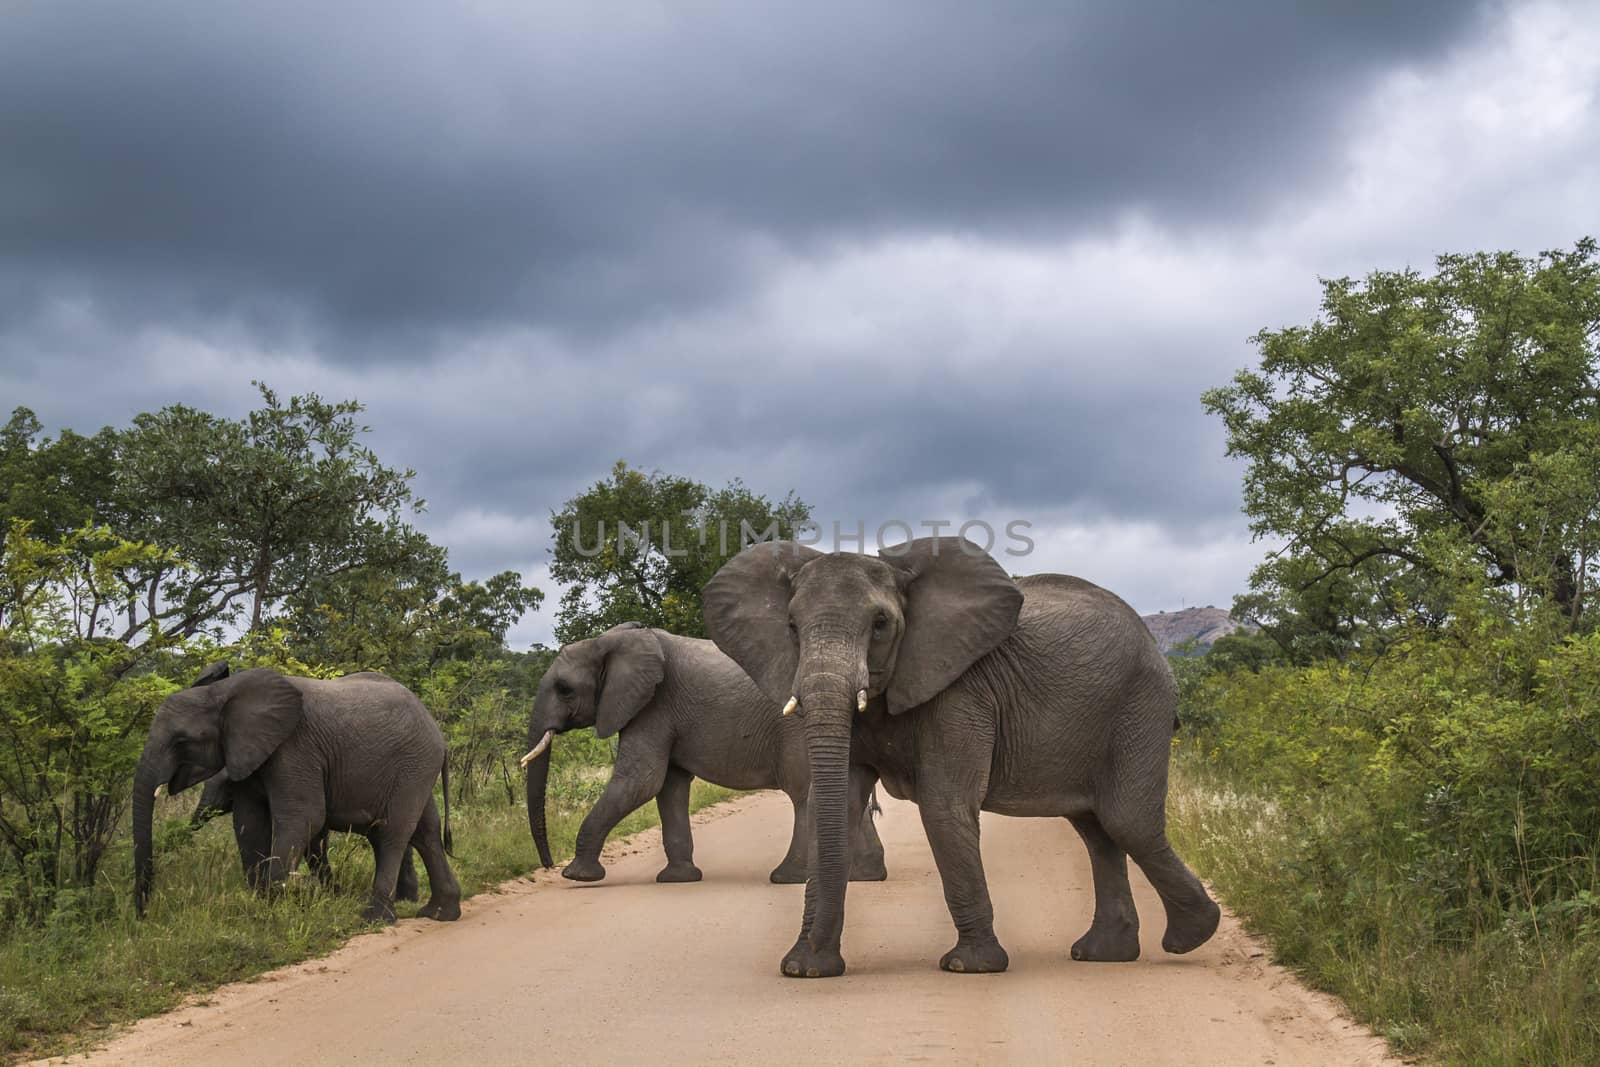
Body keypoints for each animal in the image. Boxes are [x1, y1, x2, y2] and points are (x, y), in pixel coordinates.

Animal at [133, 662, 460, 921]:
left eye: (181, 741)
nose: (142, 915)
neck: (223, 693)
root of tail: (438, 733)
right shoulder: (249, 754)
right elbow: (249, 823)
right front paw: (267, 903)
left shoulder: (295, 749)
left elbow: (304, 818)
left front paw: (296, 891)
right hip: (417, 768)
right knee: (426, 832)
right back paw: (440, 913)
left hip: (414, 763)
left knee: (392, 832)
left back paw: (376, 917)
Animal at [518, 620, 883, 889]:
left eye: (564, 689)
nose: (547, 866)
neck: (610, 641)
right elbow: (669, 787)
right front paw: (678, 880)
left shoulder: (653, 706)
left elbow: (640, 781)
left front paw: (577, 876)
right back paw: (865, 877)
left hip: (798, 726)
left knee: (804, 793)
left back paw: (788, 878)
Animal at [707, 537, 1216, 979]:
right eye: (791, 627)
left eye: (880, 624)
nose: (809, 956)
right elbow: (834, 805)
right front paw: (804, 968)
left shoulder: (962, 691)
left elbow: (943, 805)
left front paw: (969, 966)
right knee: (1097, 831)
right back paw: (1103, 954)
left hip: (1140, 705)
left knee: (1126, 822)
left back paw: (1189, 937)